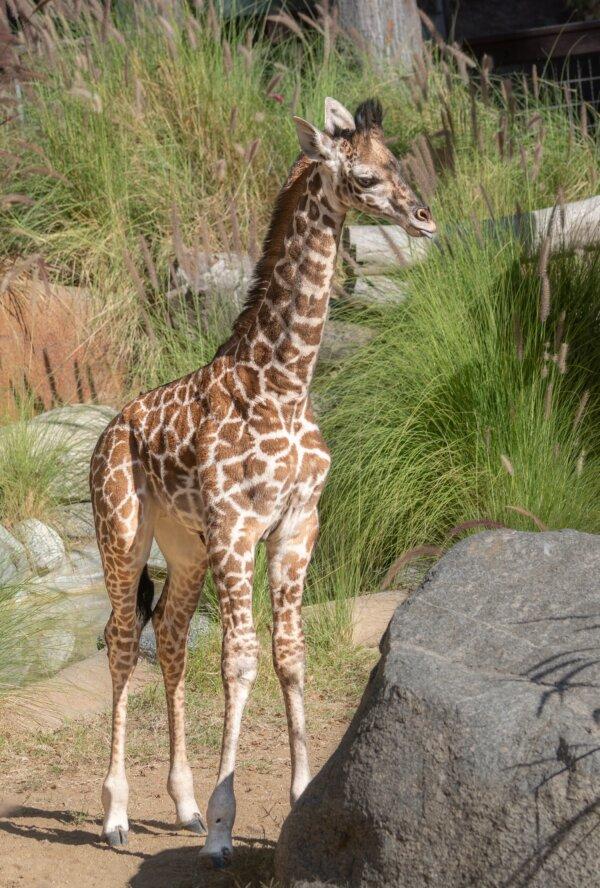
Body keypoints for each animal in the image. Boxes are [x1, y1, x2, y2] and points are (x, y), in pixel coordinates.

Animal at [90, 96, 436, 864]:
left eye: (398, 161)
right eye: (366, 177)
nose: (426, 217)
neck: (285, 382)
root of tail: (107, 431)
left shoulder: (297, 525)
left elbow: (290, 656)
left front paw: (298, 797)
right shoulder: (236, 528)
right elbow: (241, 662)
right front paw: (225, 827)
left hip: (183, 548)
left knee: (172, 639)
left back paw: (183, 805)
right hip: (121, 533)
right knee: (125, 641)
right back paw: (117, 815)